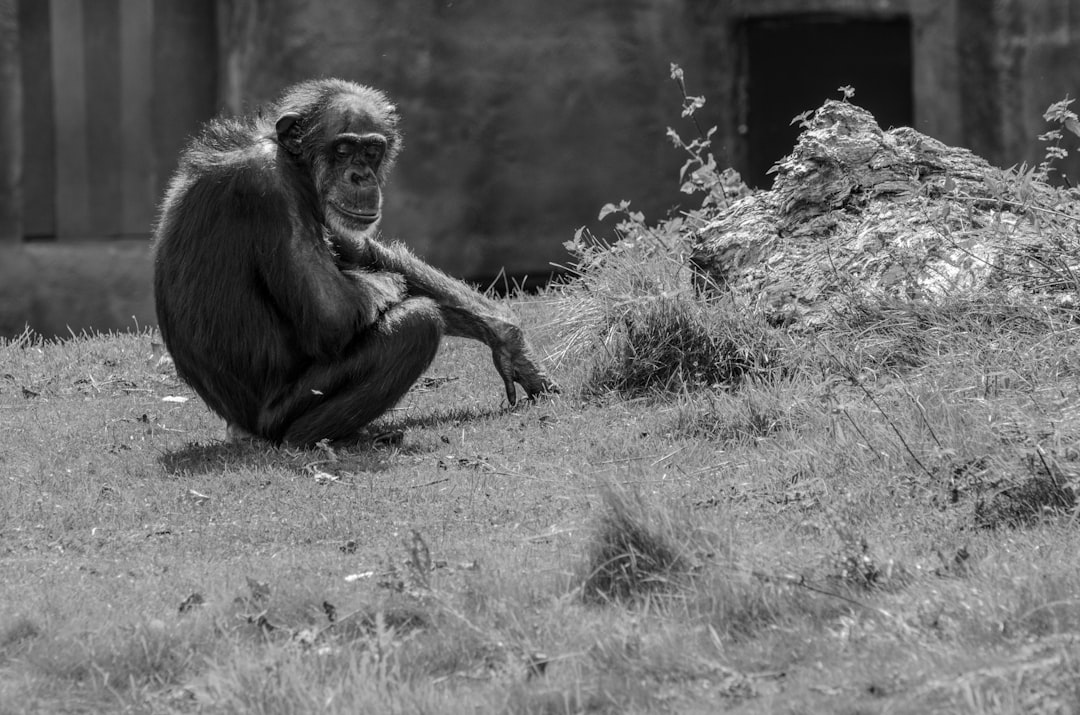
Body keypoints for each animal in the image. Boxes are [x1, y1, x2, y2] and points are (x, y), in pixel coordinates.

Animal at [154, 79, 557, 449]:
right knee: (418, 322)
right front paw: (386, 286)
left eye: (373, 150)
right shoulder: (270, 188)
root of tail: (239, 428)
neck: (294, 165)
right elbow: (332, 313)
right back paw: (320, 437)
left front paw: (508, 340)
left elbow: (358, 249)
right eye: (344, 148)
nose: (360, 175)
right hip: (280, 412)